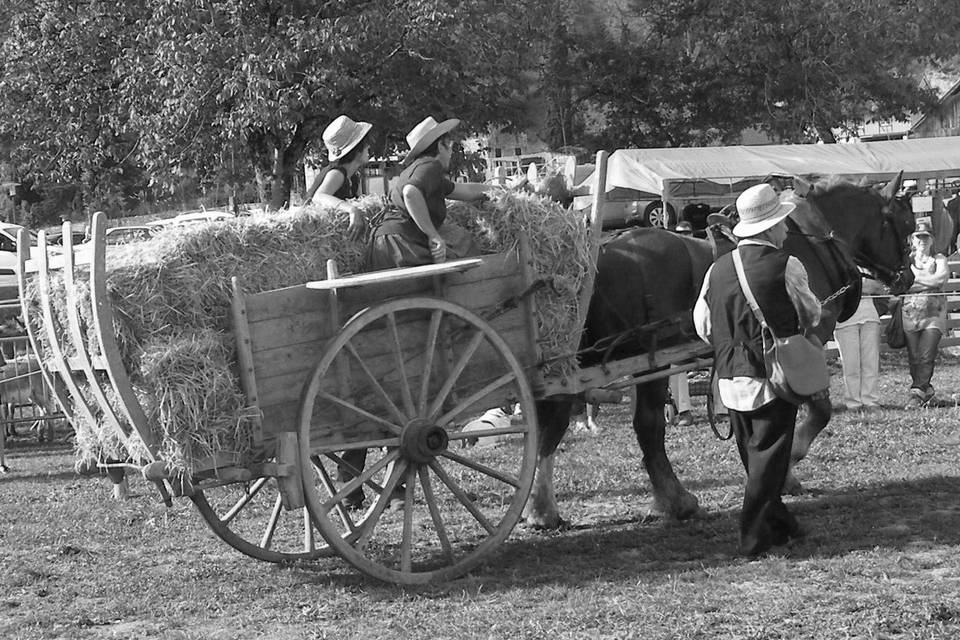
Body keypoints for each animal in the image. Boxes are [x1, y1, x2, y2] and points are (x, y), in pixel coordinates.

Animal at [524, 174, 916, 524]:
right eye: (906, 225)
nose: (908, 277)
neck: (810, 238)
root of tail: (601, 252)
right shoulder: (804, 339)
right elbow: (817, 410)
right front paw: (789, 465)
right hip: (646, 361)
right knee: (636, 425)